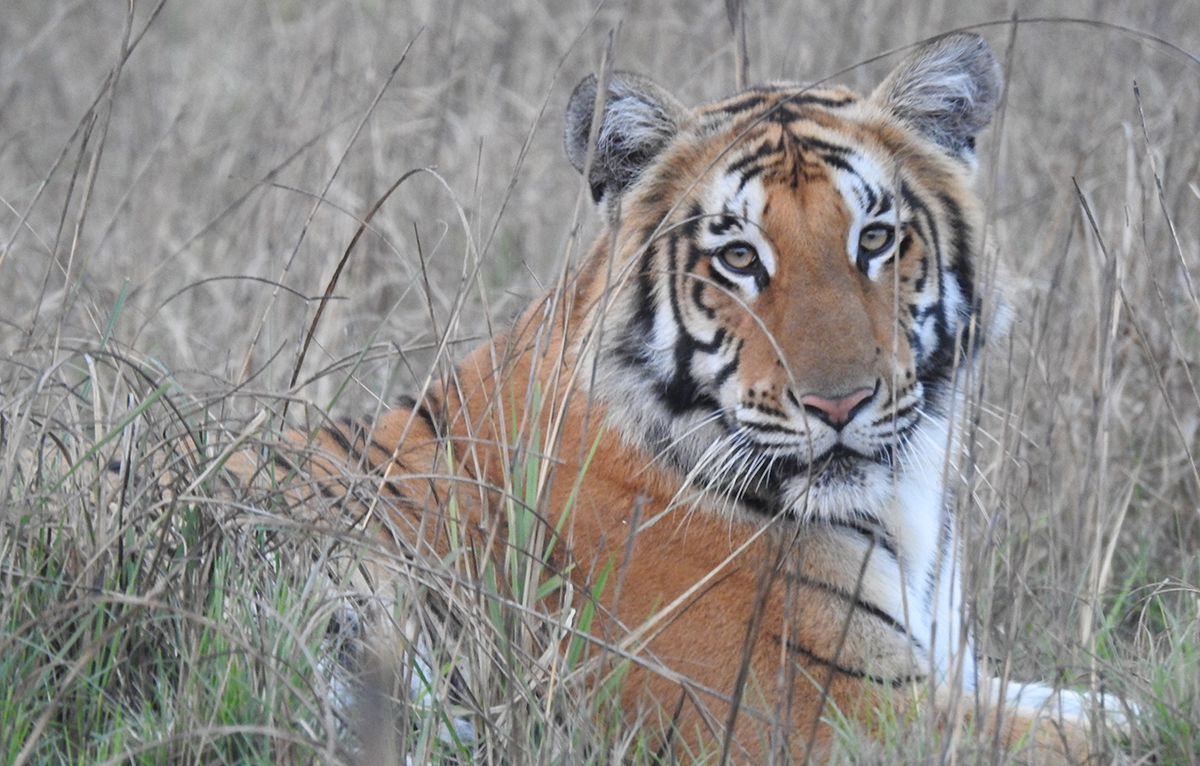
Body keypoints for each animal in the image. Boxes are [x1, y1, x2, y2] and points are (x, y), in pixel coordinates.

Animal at [246, 34, 1132, 766]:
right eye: (738, 257)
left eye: (875, 240)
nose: (839, 405)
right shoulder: (819, 713)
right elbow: (1103, 735)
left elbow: (1105, 702)